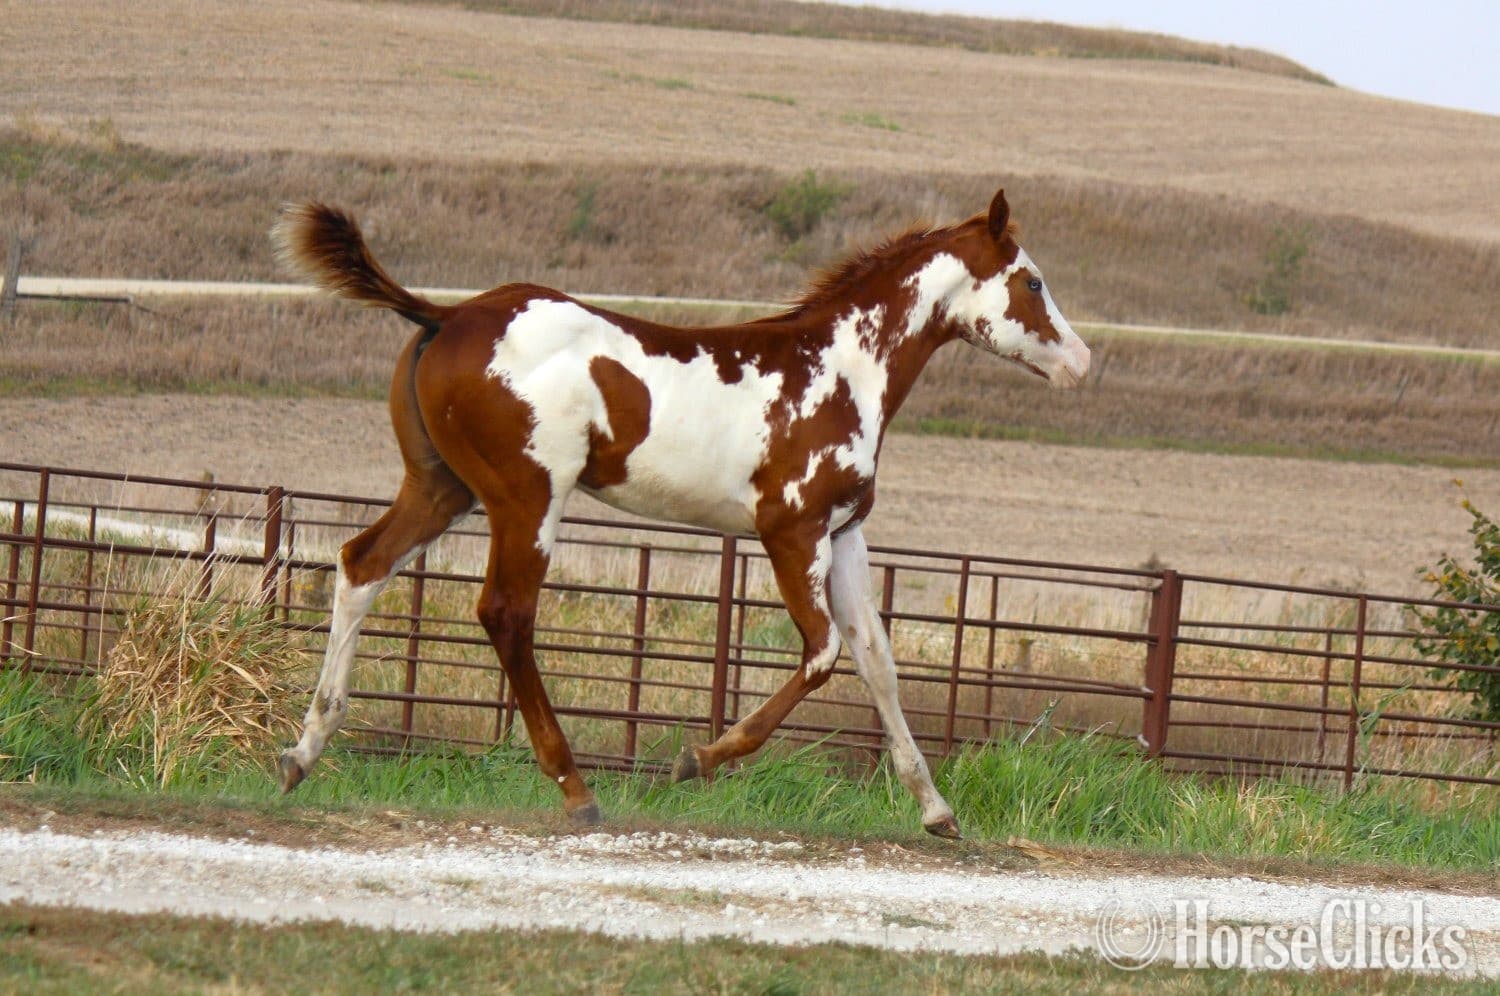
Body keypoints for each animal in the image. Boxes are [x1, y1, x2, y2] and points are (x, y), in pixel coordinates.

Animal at [271, 188, 1089, 838]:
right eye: (1033, 280)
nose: (1080, 362)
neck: (838, 368)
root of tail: (446, 315)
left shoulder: (845, 535)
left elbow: (876, 661)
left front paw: (938, 811)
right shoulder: (789, 533)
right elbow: (823, 654)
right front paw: (694, 759)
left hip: (443, 487)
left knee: (362, 565)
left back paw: (302, 753)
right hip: (526, 496)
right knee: (505, 612)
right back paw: (577, 789)